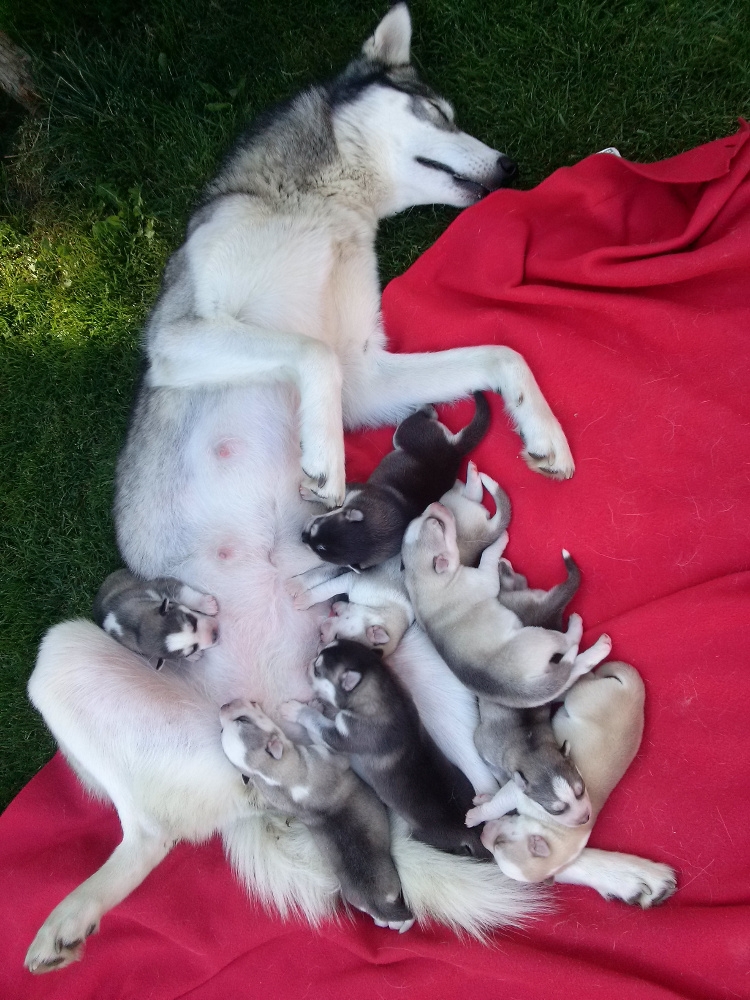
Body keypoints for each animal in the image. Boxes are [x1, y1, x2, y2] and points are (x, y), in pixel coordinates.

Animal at [219, 699, 414, 931]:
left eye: (241, 720)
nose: (222, 706)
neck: (269, 775)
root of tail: (377, 903)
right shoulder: (332, 756)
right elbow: (320, 736)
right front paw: (305, 709)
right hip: (394, 889)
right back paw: (404, 923)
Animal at [282, 639, 490, 859]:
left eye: (317, 669)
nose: (307, 663)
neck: (384, 692)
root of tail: (473, 831)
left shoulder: (343, 736)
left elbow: (317, 723)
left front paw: (297, 710)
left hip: (429, 835)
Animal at [301, 392, 490, 570]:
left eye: (320, 554)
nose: (301, 536)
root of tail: (455, 450)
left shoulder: (354, 490)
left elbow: (330, 498)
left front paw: (310, 492)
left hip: (406, 434)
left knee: (424, 415)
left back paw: (421, 405)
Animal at [401, 503, 612, 707]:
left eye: (423, 517)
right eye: (438, 524)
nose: (436, 502)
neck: (419, 582)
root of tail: (518, 689)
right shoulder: (482, 579)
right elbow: (488, 554)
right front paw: (500, 538)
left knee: (573, 671)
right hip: (538, 636)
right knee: (568, 644)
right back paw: (582, 633)